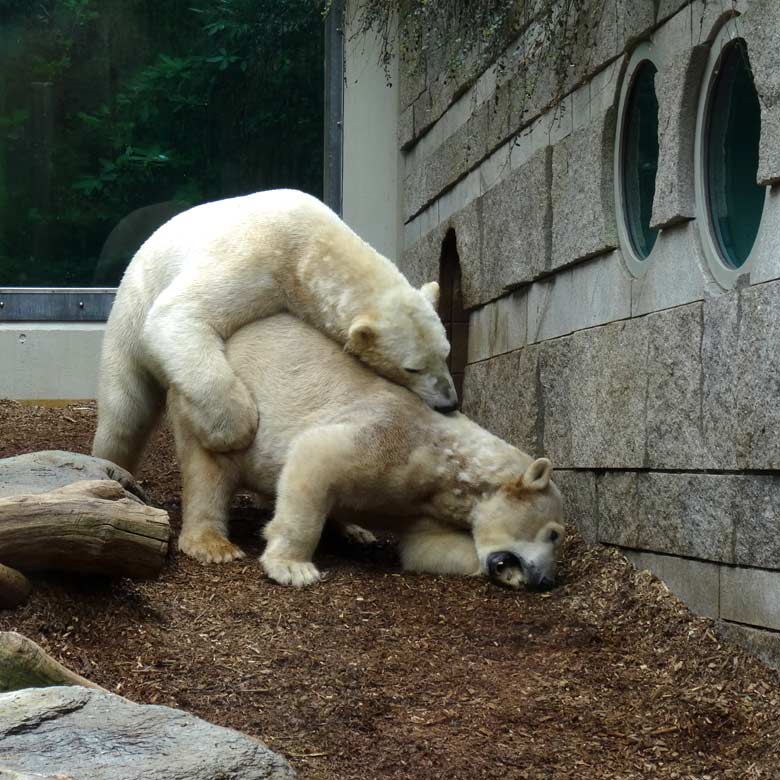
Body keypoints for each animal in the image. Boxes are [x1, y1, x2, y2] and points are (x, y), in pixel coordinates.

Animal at [93, 187, 458, 476]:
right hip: (130, 313)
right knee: (125, 409)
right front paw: (234, 429)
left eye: (446, 353)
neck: (313, 243)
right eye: (413, 368)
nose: (449, 402)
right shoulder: (257, 257)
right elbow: (177, 313)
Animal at [169, 310, 568, 592]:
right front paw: (294, 568)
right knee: (209, 471)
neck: (447, 464)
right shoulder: (390, 436)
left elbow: (428, 547)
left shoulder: (421, 503)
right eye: (554, 534)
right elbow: (315, 455)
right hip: (219, 409)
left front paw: (505, 573)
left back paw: (354, 530)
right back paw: (213, 544)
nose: (544, 580)